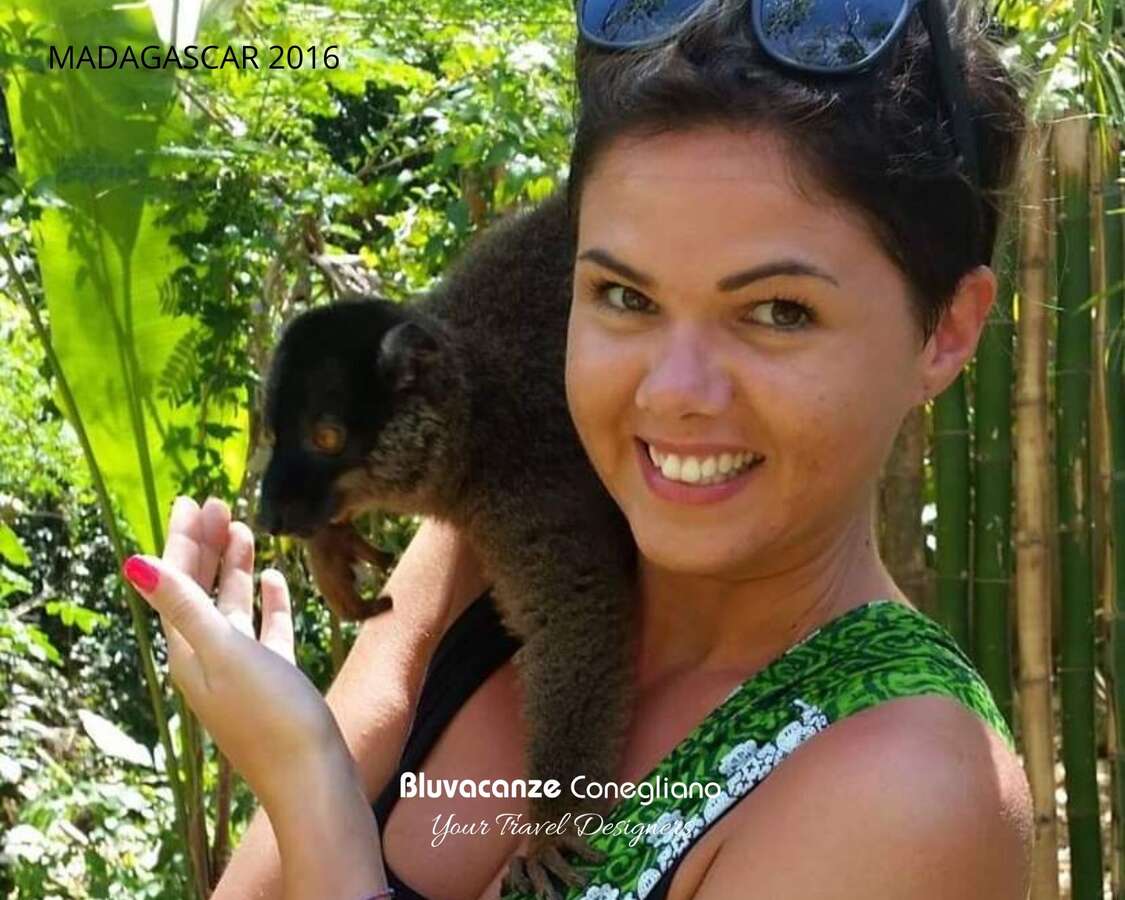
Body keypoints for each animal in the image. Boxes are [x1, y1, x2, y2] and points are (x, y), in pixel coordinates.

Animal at [255, 190, 638, 899]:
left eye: (326, 438)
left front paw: (553, 822)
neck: (475, 420)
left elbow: (577, 616)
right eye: (273, 433)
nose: (269, 514)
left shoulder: (532, 487)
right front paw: (330, 545)